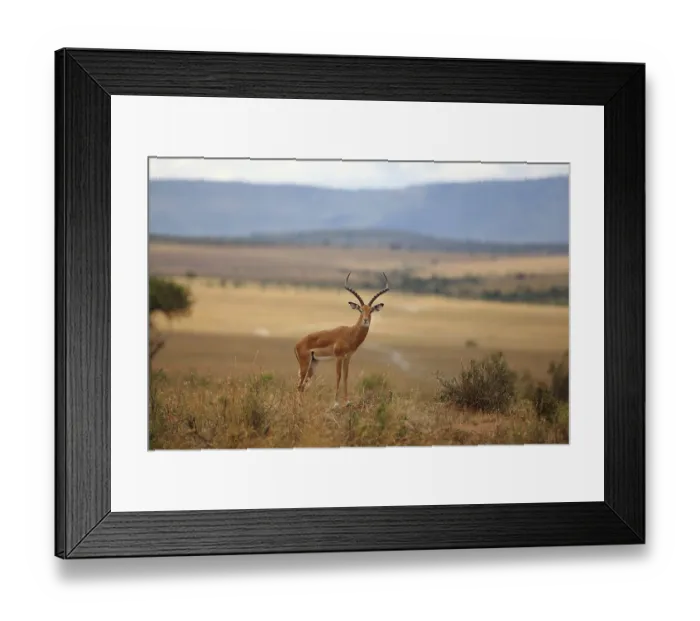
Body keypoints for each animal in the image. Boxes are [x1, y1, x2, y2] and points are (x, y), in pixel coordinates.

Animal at [294, 272, 390, 407]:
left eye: (371, 310)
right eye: (360, 310)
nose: (365, 320)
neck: (350, 334)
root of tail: (297, 344)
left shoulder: (347, 357)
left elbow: (345, 376)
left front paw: (347, 401)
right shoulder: (339, 357)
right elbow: (338, 376)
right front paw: (335, 403)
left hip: (313, 364)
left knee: (302, 386)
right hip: (305, 364)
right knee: (299, 385)